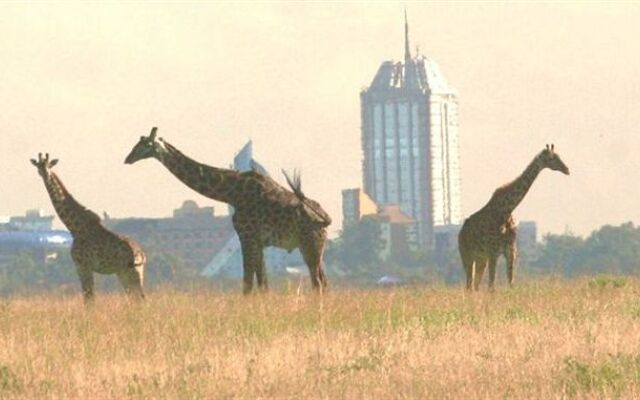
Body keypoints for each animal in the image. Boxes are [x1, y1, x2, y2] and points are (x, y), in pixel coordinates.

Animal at [31, 153, 146, 304]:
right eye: (38, 166)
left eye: (49, 165)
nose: (45, 174)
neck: (75, 228)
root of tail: (141, 255)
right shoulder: (85, 267)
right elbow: (89, 298)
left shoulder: (83, 266)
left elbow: (89, 299)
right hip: (130, 272)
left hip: (128, 272)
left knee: (138, 298)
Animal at [126, 127, 336, 294]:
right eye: (137, 142)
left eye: (144, 145)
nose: (127, 158)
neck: (231, 193)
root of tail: (326, 218)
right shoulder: (257, 241)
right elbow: (262, 283)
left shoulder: (246, 236)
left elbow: (248, 282)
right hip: (313, 244)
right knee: (324, 281)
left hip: (310, 243)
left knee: (318, 282)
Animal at [460, 145, 568, 290]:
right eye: (551, 158)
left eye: (559, 156)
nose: (567, 169)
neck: (506, 210)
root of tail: (460, 232)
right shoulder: (493, 251)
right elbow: (492, 286)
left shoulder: (511, 250)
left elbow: (510, 283)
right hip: (467, 255)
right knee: (469, 285)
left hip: (481, 258)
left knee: (475, 285)